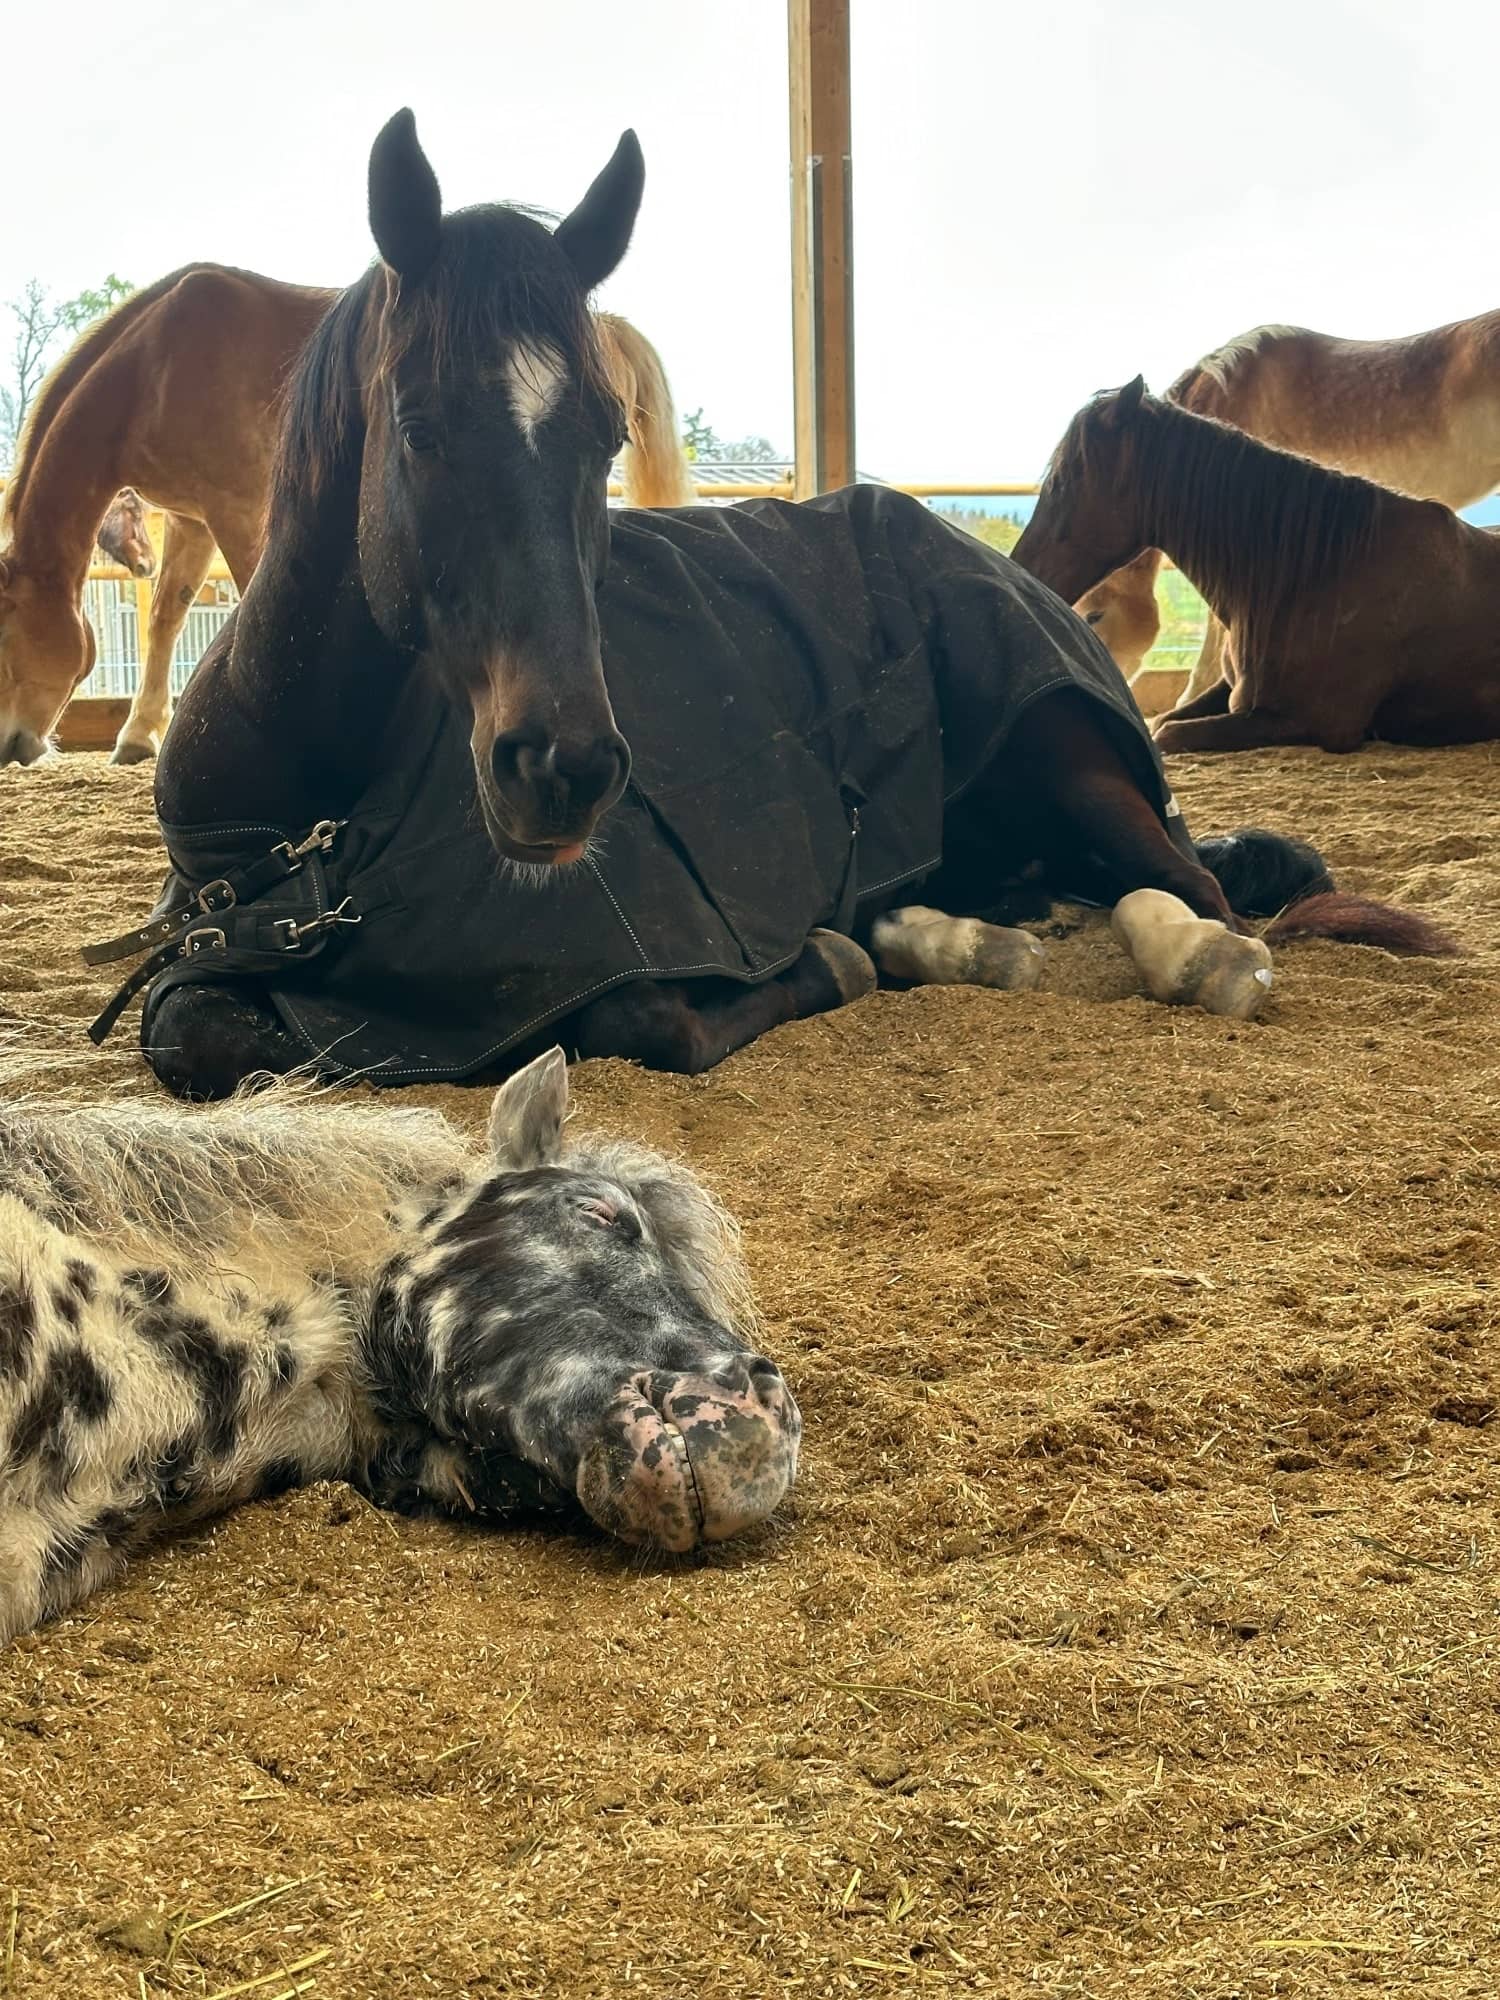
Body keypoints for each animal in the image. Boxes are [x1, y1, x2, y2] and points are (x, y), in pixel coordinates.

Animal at [0, 264, 693, 773]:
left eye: (6, 645)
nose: (11, 742)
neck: (156, 366)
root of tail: (609, 328)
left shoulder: (237, 510)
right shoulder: (191, 519)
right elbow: (167, 615)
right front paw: (141, 734)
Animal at [1011, 375, 1500, 755]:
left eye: (1068, 476)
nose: (1023, 569)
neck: (1320, 577)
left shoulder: (1310, 720)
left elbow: (1167, 733)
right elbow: (1162, 723)